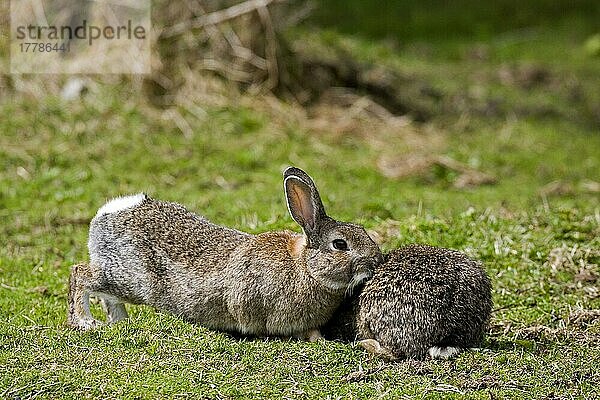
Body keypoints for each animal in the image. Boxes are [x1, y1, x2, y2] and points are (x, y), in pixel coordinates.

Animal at [67, 167, 384, 340]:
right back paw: (84, 322)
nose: (376, 260)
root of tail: (111, 211)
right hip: (128, 278)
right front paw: (315, 338)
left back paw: (120, 323)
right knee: (80, 274)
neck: (305, 267)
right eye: (340, 245)